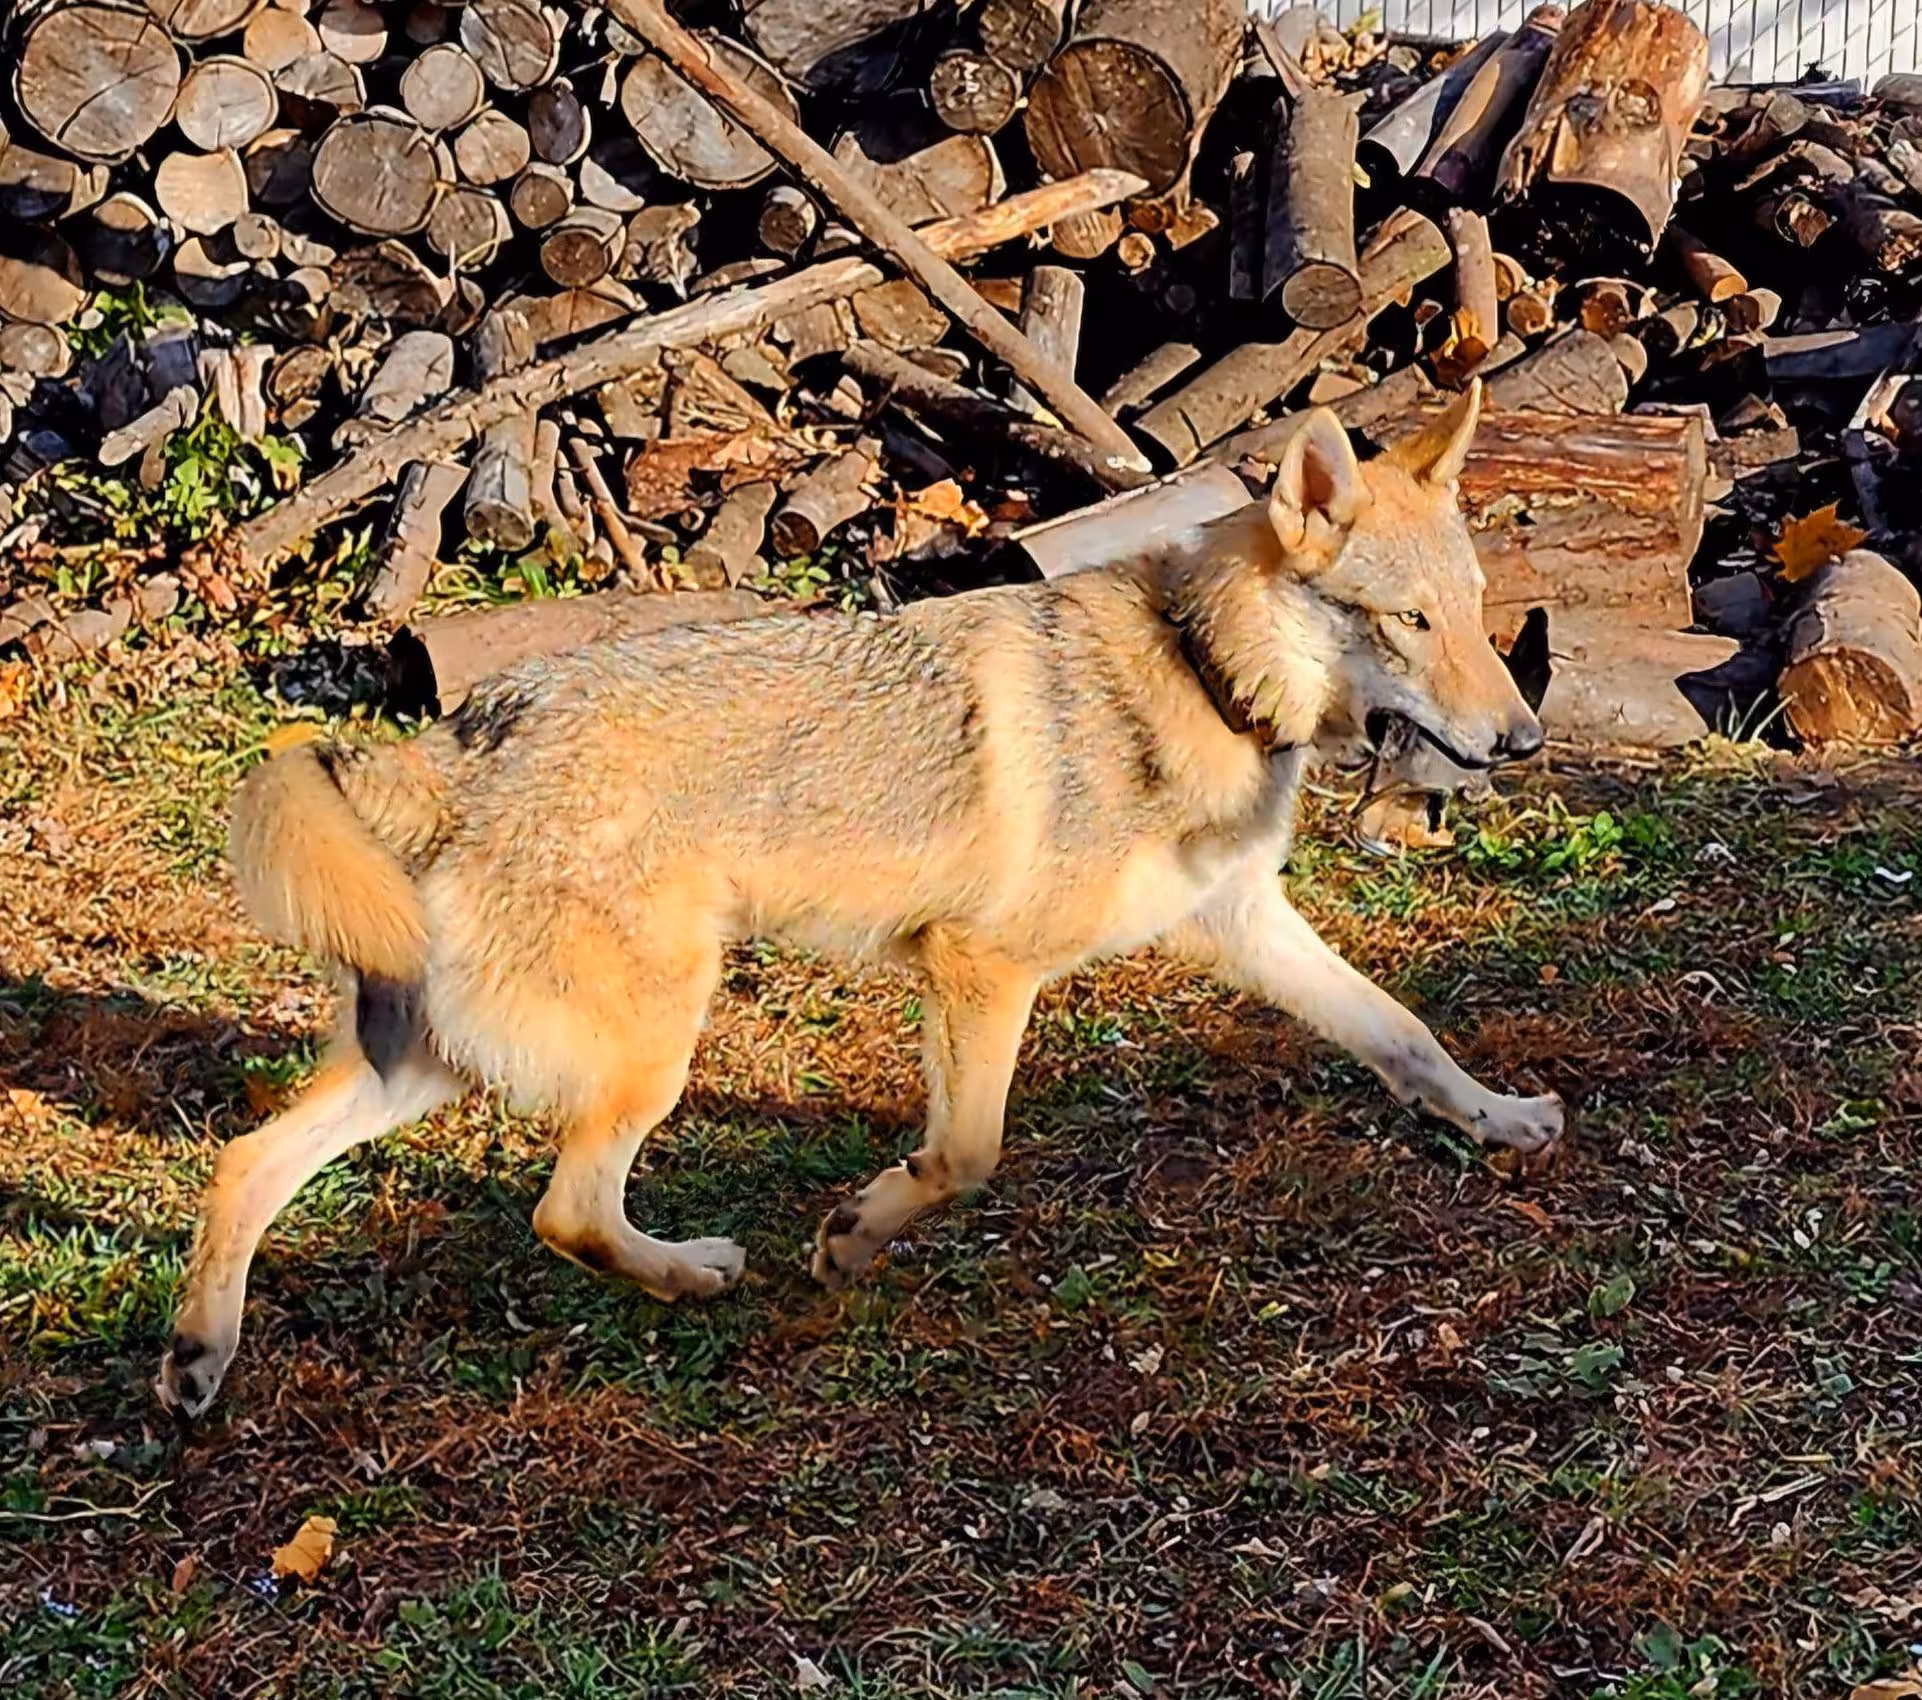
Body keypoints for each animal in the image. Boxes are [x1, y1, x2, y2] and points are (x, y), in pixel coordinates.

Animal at [158, 378, 1563, 1418]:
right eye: (1407, 621)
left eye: (1477, 614)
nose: (1522, 740)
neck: (1196, 669)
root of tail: (454, 737)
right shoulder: (981, 967)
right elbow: (962, 1154)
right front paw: (849, 1237)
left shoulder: (1246, 926)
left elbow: (1404, 1035)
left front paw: (1501, 1118)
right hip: (649, 1048)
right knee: (565, 1209)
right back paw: (697, 1272)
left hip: (437, 1064)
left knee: (244, 1161)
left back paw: (194, 1359)